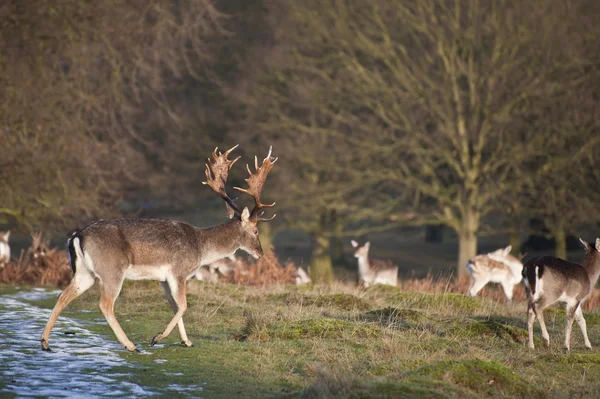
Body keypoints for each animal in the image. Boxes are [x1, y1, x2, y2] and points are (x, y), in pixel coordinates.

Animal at [40, 145, 278, 352]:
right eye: (256, 231)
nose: (261, 253)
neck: (200, 247)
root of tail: (77, 236)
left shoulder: (163, 278)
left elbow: (175, 306)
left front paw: (186, 341)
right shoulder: (179, 271)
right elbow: (183, 306)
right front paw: (157, 338)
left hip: (85, 272)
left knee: (63, 295)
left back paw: (45, 342)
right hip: (112, 270)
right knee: (105, 304)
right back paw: (130, 345)